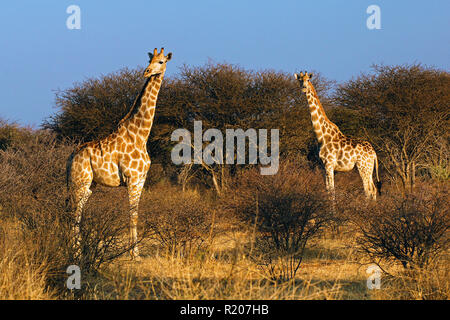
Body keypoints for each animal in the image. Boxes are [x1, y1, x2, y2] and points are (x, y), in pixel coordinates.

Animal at [67, 48, 172, 260]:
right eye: (150, 60)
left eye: (161, 61)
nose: (147, 72)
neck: (141, 134)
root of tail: (71, 157)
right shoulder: (132, 178)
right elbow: (133, 215)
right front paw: (135, 254)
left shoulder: (141, 179)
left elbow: (135, 213)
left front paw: (133, 252)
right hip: (80, 181)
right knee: (74, 212)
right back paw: (76, 254)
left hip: (89, 185)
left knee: (77, 211)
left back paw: (77, 251)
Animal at [296, 72, 380, 202]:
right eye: (300, 80)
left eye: (308, 79)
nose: (304, 88)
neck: (321, 136)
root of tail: (373, 153)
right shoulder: (323, 166)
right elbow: (327, 190)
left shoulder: (329, 164)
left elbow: (332, 191)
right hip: (369, 168)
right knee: (374, 189)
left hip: (363, 167)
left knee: (368, 190)